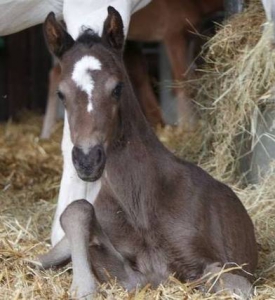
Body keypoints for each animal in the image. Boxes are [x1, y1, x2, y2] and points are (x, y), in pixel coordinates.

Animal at [40, 7, 260, 300]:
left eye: (117, 88)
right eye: (61, 94)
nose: (87, 160)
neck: (140, 203)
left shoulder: (219, 267)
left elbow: (222, 279)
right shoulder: (135, 274)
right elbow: (77, 208)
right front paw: (83, 287)